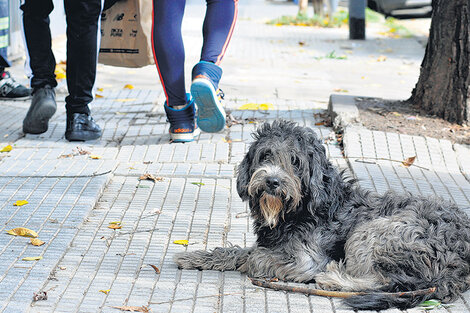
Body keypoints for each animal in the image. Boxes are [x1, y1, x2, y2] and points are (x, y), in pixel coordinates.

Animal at [173, 120, 470, 308]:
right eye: (265, 155)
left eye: (295, 161)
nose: (271, 181)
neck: (303, 210)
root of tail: (458, 265)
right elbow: (238, 251)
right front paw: (198, 257)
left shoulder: (306, 259)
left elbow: (255, 257)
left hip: (374, 232)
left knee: (381, 280)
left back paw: (333, 277)